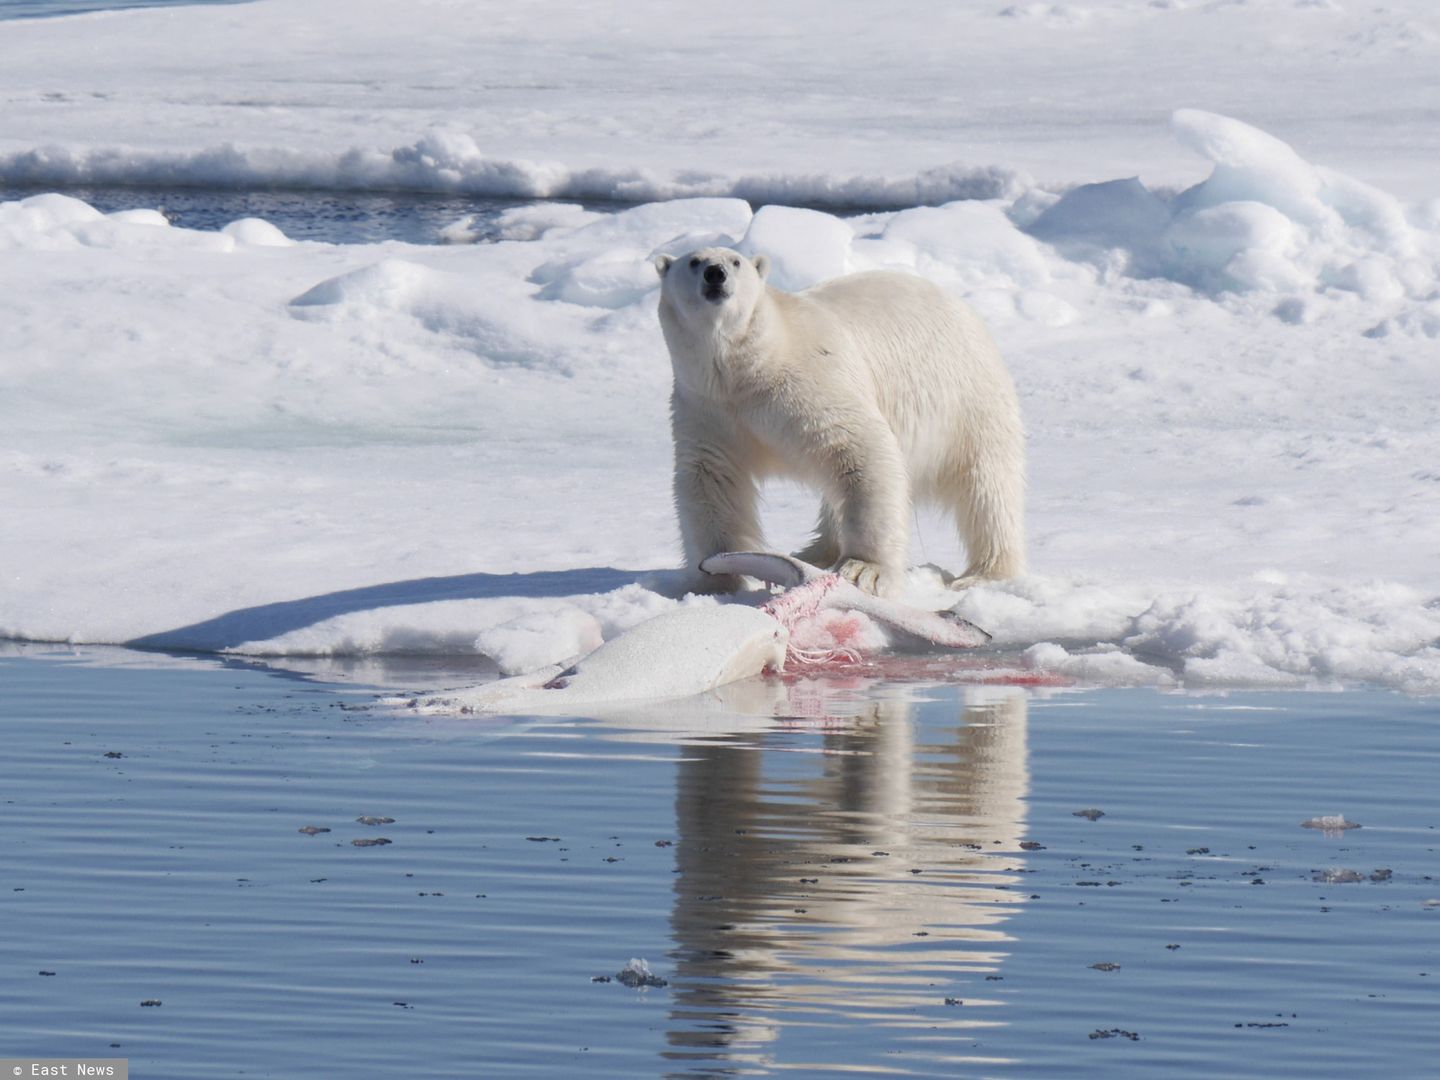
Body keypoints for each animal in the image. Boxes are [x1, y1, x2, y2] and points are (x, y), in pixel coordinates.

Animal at [653, 247, 1025, 601]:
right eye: (694, 261)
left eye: (735, 261)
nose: (715, 274)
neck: (746, 367)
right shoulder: (707, 406)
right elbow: (709, 478)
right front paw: (715, 577)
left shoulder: (810, 383)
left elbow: (860, 448)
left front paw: (864, 570)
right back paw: (814, 552)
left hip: (967, 400)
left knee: (987, 488)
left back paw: (985, 573)